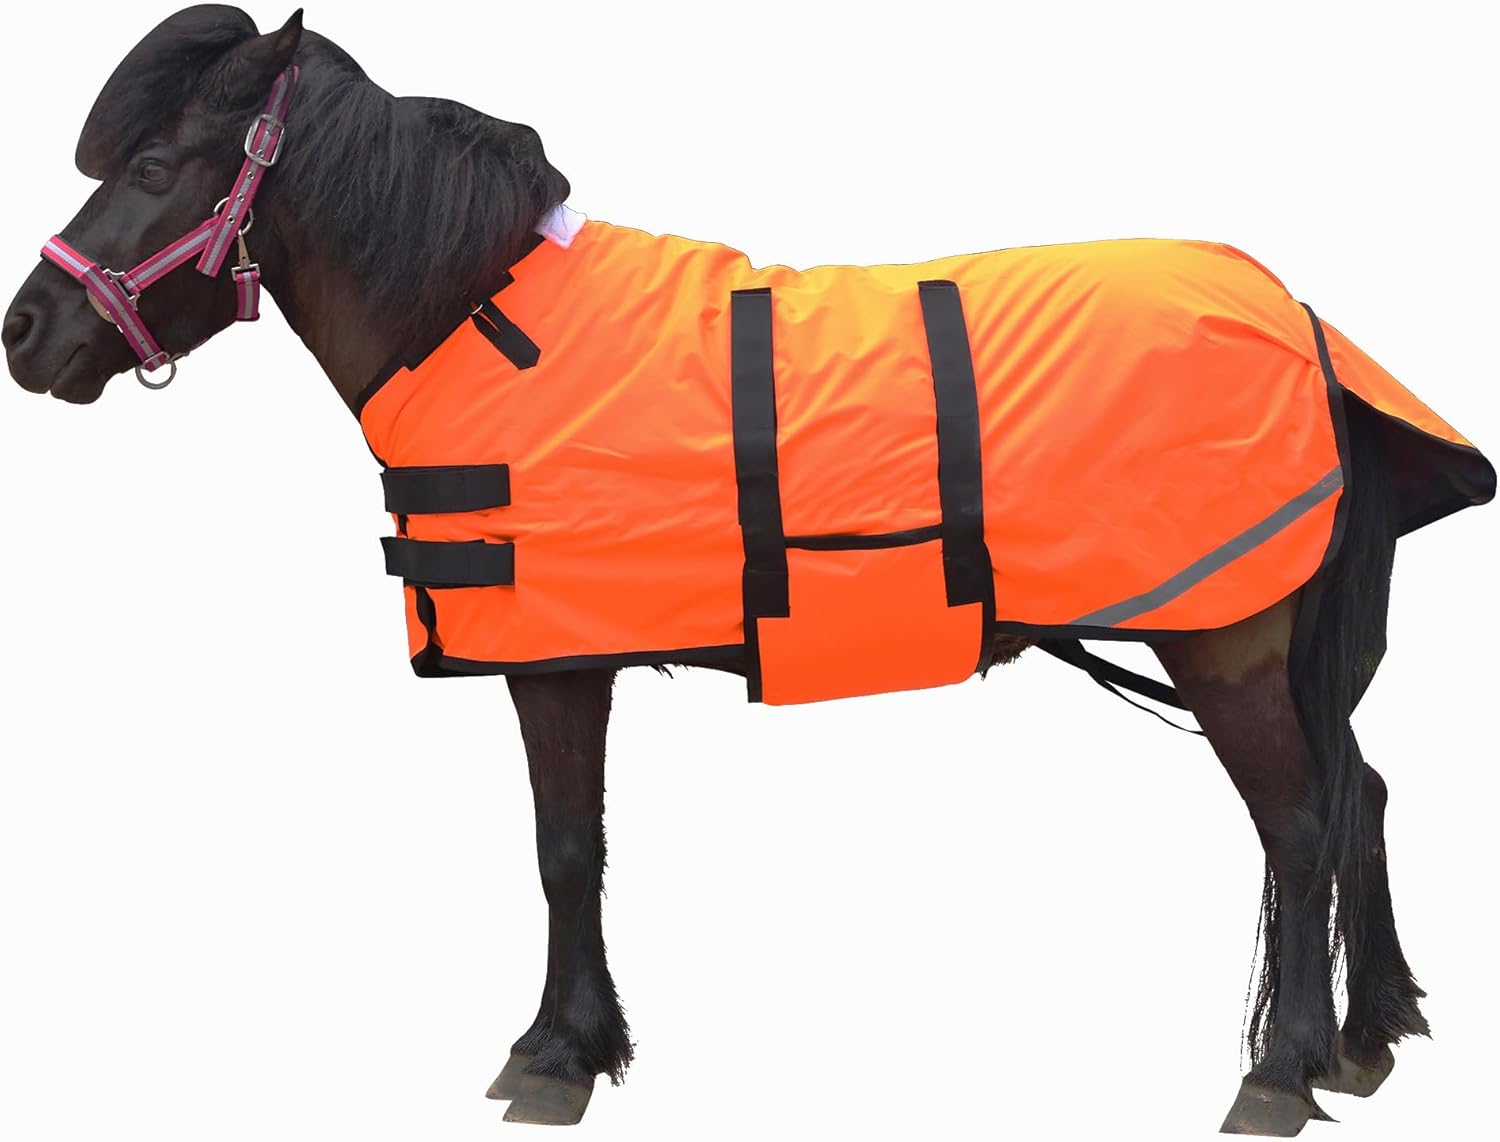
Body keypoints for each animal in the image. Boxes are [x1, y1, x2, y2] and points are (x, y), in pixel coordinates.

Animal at [4, 6, 1493, 1134]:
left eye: (154, 164)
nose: (27, 331)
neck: (475, 316)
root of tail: (1299, 319)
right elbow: (579, 848)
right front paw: (579, 1040)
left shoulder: (554, 660)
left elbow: (563, 848)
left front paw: (555, 1054)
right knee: (1357, 793)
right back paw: (1370, 1035)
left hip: (1224, 639)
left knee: (1297, 824)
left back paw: (1280, 1071)